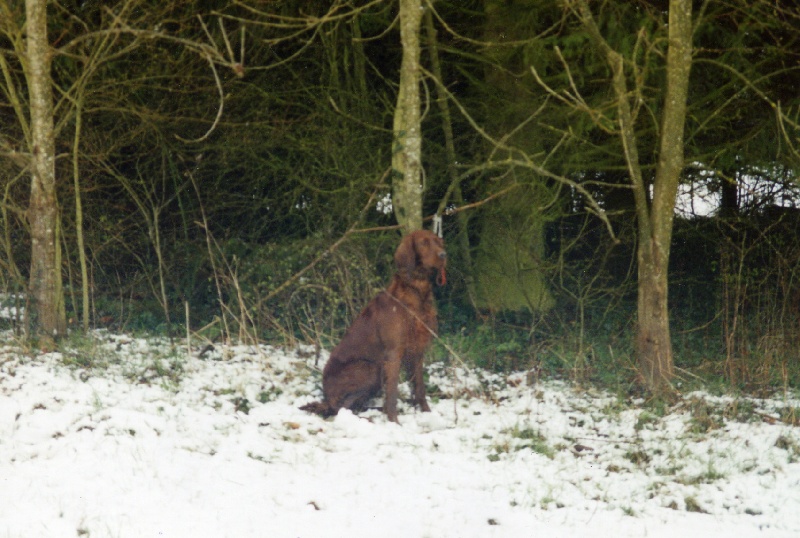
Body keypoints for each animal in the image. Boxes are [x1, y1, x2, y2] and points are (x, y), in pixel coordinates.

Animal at [302, 228, 446, 420]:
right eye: (423, 243)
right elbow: (392, 392)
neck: (416, 291)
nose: (443, 255)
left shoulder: (418, 351)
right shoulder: (393, 353)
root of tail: (326, 397)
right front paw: (394, 421)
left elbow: (420, 387)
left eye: (438, 241)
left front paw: (427, 413)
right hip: (370, 368)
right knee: (339, 408)